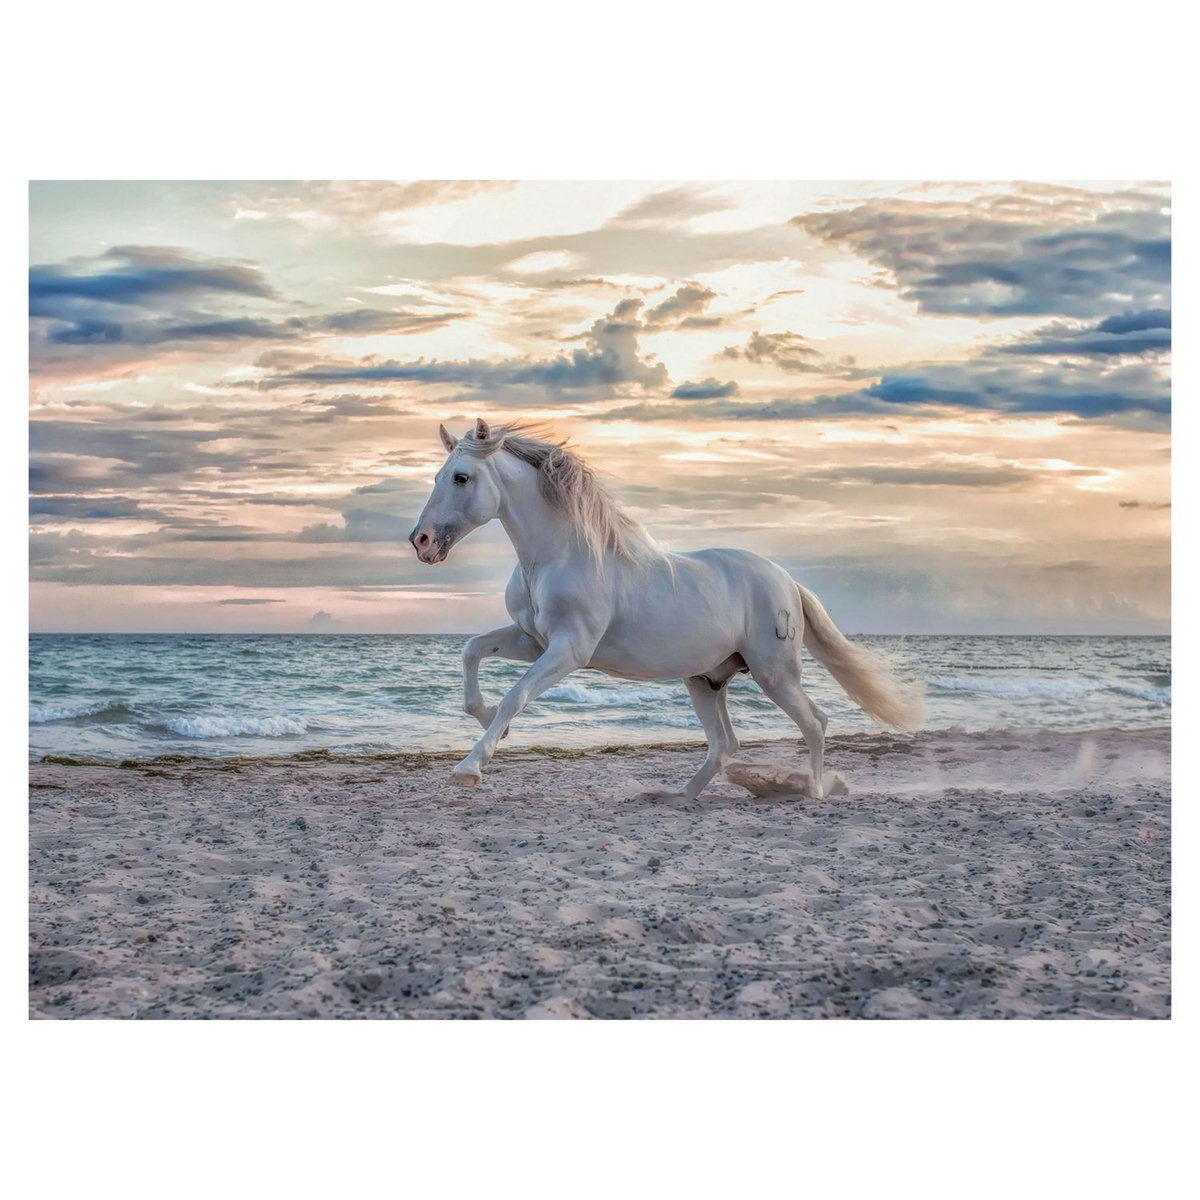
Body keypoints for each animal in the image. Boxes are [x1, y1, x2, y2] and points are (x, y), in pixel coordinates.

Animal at [408, 419, 923, 798]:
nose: (421, 542)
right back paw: (679, 796)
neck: (560, 555)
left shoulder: (569, 650)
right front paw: (488, 723)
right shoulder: (532, 640)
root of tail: (786, 581)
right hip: (705, 680)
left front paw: (470, 767)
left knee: (814, 723)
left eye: (461, 477)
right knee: (725, 744)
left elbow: (516, 696)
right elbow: (472, 652)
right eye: (436, 476)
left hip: (774, 673)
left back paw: (813, 793)